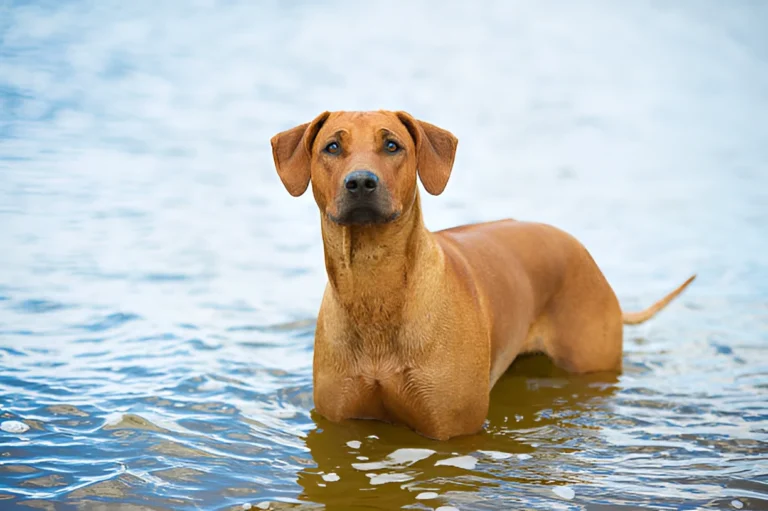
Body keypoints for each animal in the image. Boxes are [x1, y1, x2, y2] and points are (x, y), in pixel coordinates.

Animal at [270, 111, 696, 440]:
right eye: (332, 147)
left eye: (392, 146)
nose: (361, 182)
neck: (375, 285)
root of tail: (585, 254)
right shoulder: (340, 424)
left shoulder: (451, 429)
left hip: (590, 359)